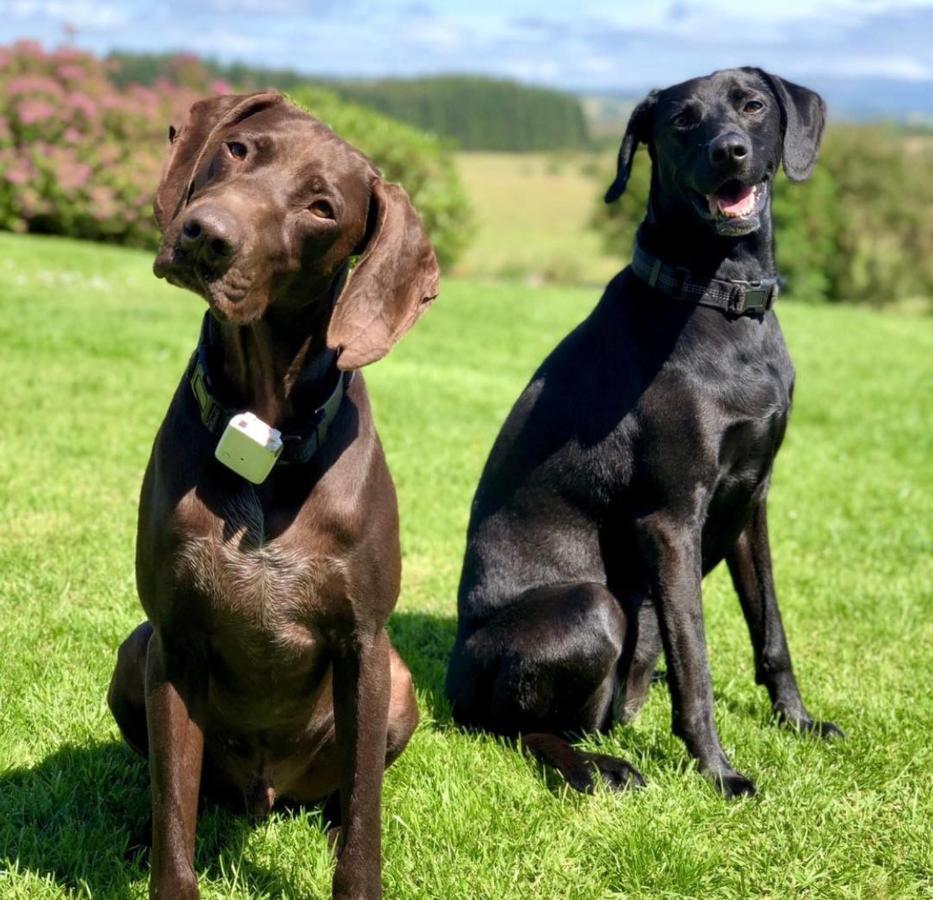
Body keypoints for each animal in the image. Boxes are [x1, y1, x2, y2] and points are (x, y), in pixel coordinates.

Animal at [108, 93, 436, 900]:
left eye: (321, 208)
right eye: (239, 150)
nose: (205, 234)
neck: (262, 433)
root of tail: (266, 794)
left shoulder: (363, 649)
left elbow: (365, 824)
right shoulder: (175, 642)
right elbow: (173, 814)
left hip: (399, 682)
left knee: (345, 795)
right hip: (135, 652)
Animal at [448, 72, 840, 800]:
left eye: (753, 105)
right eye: (681, 121)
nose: (728, 151)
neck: (719, 301)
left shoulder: (751, 499)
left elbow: (770, 631)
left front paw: (798, 722)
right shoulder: (671, 517)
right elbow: (696, 663)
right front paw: (718, 772)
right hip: (591, 610)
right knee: (515, 729)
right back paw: (598, 765)